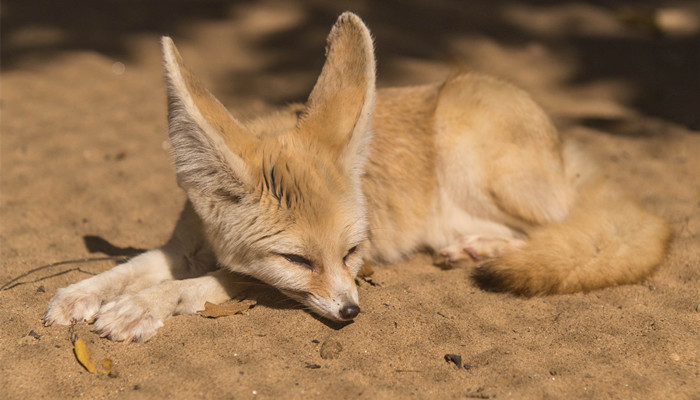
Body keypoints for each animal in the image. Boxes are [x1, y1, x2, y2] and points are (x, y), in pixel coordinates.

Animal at [43, 11, 672, 340]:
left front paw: (141, 307)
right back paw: (466, 244)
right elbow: (133, 265)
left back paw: (481, 247)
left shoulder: (285, 274)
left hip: (472, 150)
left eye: (349, 253)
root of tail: (569, 153)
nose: (352, 312)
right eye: (297, 259)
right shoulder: (186, 245)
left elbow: (209, 283)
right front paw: (82, 294)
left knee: (555, 231)